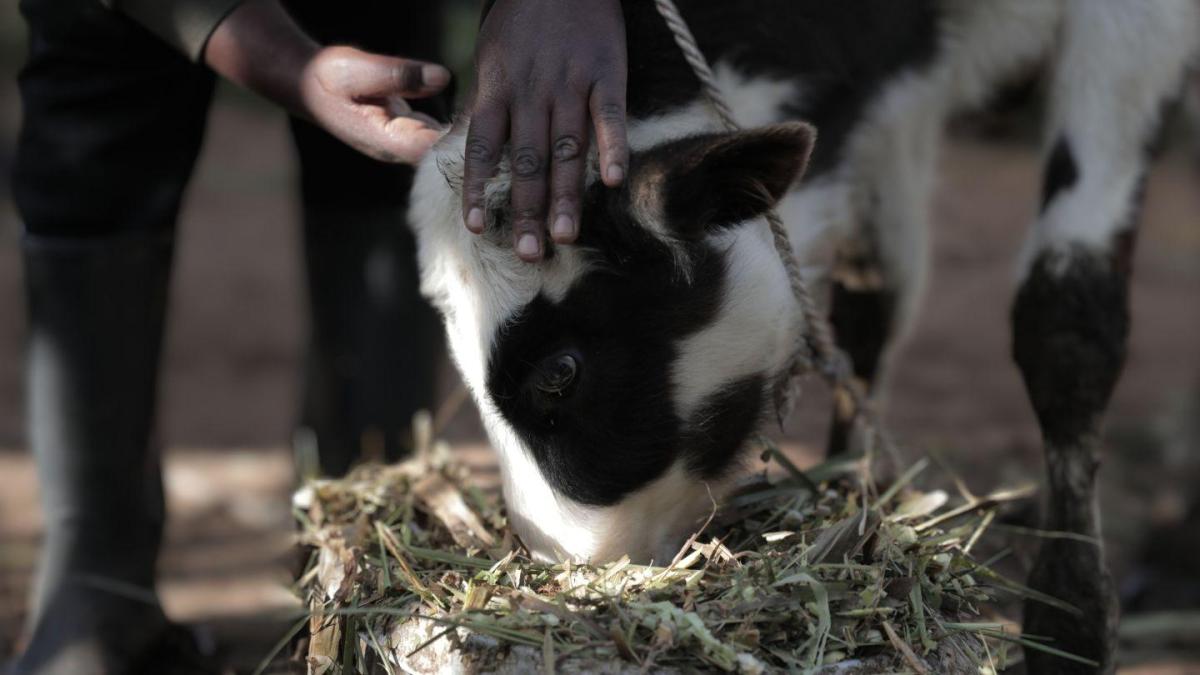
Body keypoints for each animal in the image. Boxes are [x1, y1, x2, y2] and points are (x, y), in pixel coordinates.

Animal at [408, 0, 1195, 667]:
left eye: (559, 372)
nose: (565, 573)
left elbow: (1065, 319)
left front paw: (1070, 627)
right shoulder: (892, 83)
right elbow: (874, 301)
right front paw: (856, 501)